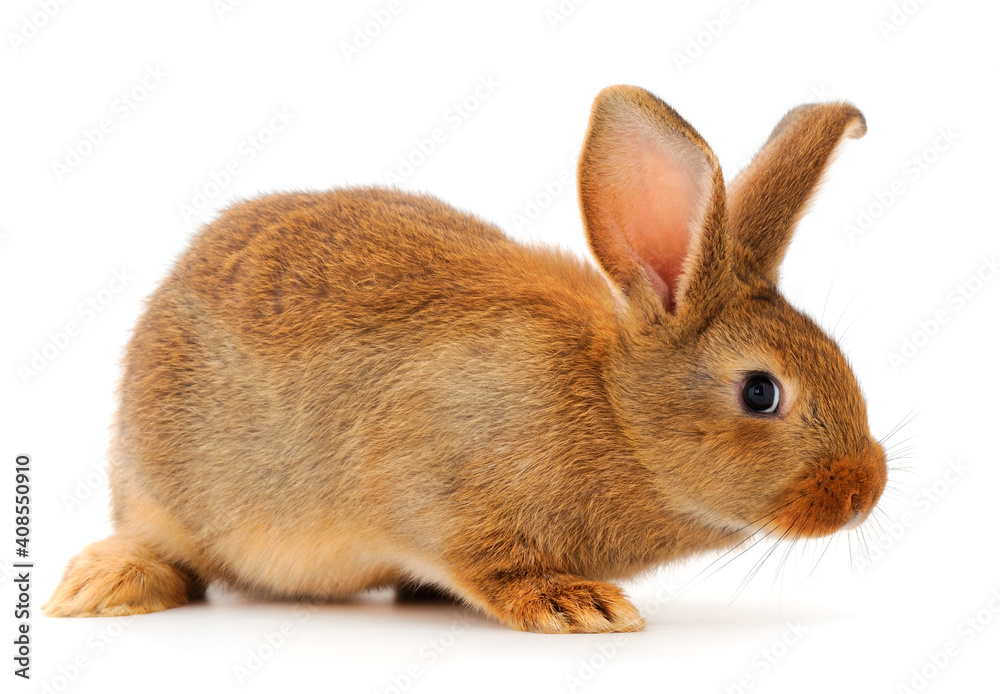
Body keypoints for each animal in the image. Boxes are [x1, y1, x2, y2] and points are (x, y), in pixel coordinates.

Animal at [44, 85, 886, 633]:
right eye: (760, 393)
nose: (865, 490)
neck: (616, 411)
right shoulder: (444, 495)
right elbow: (492, 565)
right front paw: (576, 605)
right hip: (160, 490)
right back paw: (102, 589)